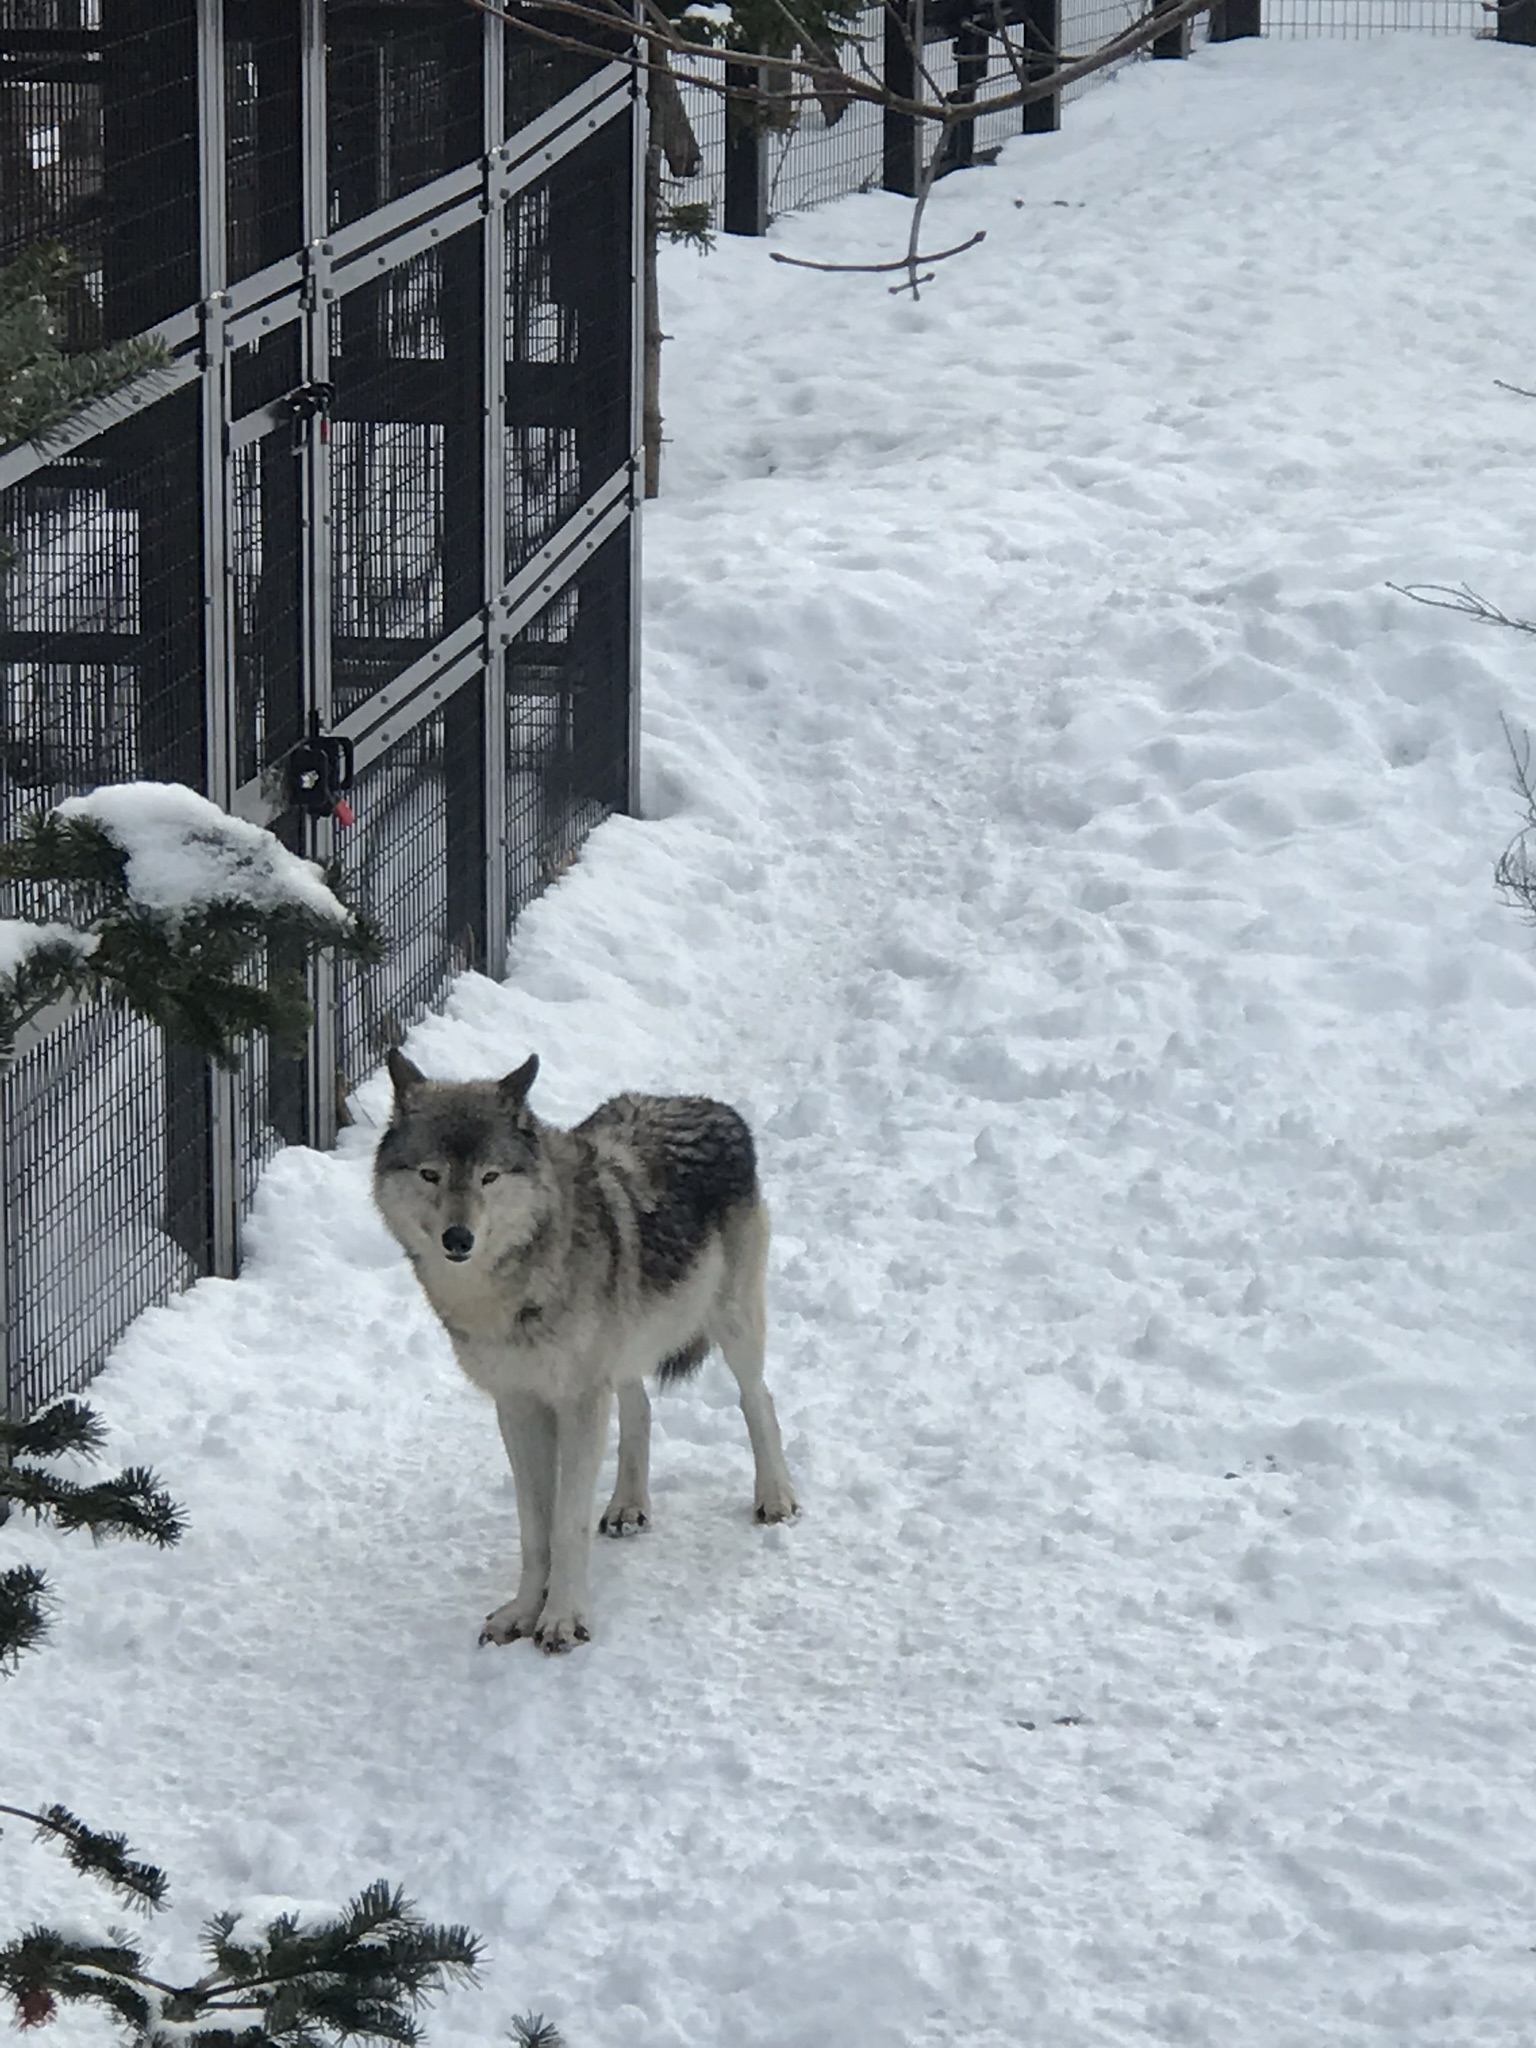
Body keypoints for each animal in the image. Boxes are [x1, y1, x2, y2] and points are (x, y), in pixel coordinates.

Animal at [372, 1050, 798, 1653]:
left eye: (488, 1176)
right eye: (430, 1174)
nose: (459, 1239)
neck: (507, 1293)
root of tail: (705, 1103)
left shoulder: (577, 1401)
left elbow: (566, 1525)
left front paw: (562, 1620)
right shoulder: (517, 1404)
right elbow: (534, 1528)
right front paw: (521, 1612)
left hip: (733, 1324)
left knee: (758, 1399)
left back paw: (775, 1497)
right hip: (625, 1352)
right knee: (640, 1409)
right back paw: (628, 1506)